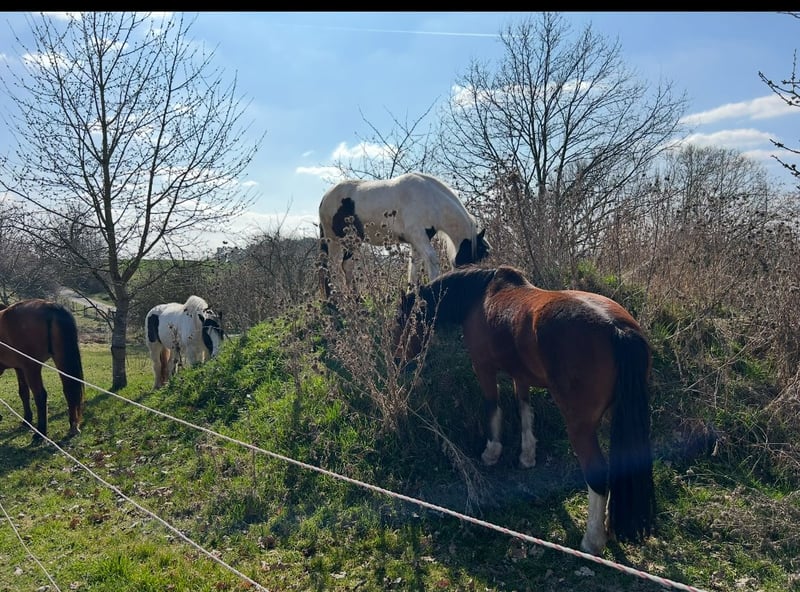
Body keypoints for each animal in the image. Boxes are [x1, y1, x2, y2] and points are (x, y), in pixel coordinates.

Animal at [0, 299, 85, 440]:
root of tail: (51, 306)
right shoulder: (19, 368)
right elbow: (23, 392)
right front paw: (27, 420)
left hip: (32, 367)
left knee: (40, 395)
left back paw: (40, 432)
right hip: (59, 358)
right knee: (69, 389)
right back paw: (73, 427)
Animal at [318, 172, 491, 299]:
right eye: (476, 258)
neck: (431, 200)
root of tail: (325, 198)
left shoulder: (417, 241)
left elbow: (414, 267)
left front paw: (411, 295)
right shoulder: (418, 236)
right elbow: (431, 260)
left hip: (343, 242)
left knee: (339, 267)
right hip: (342, 241)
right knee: (338, 267)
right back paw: (344, 299)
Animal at [392, 265, 655, 555]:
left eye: (401, 323)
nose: (397, 359)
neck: (481, 295)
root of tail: (617, 329)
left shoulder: (483, 368)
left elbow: (493, 407)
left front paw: (492, 452)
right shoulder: (521, 374)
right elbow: (524, 409)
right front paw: (527, 455)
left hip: (581, 427)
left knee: (597, 477)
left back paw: (592, 541)